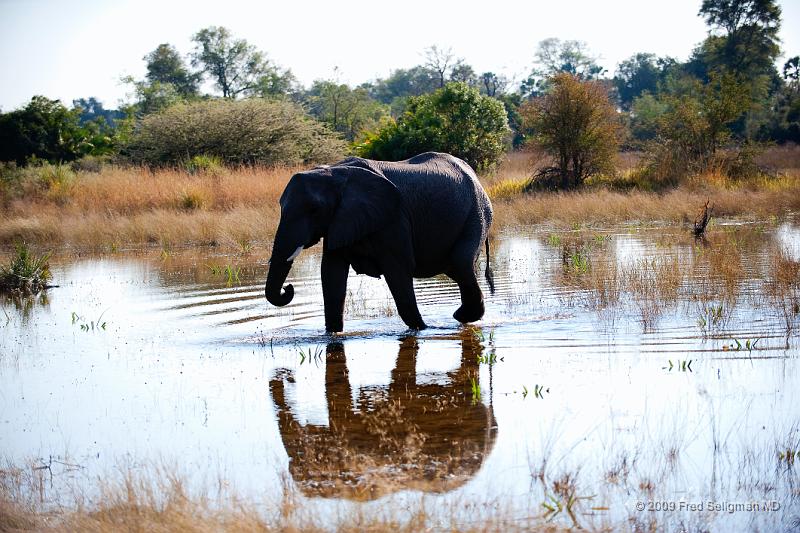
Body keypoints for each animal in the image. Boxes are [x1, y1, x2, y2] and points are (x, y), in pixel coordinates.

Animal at [264, 152, 494, 330]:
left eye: (314, 209)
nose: (288, 289)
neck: (335, 173)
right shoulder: (339, 221)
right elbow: (331, 274)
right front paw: (333, 334)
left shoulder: (394, 219)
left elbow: (398, 271)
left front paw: (422, 329)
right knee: (457, 269)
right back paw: (462, 317)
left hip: (477, 214)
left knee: (461, 263)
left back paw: (461, 317)